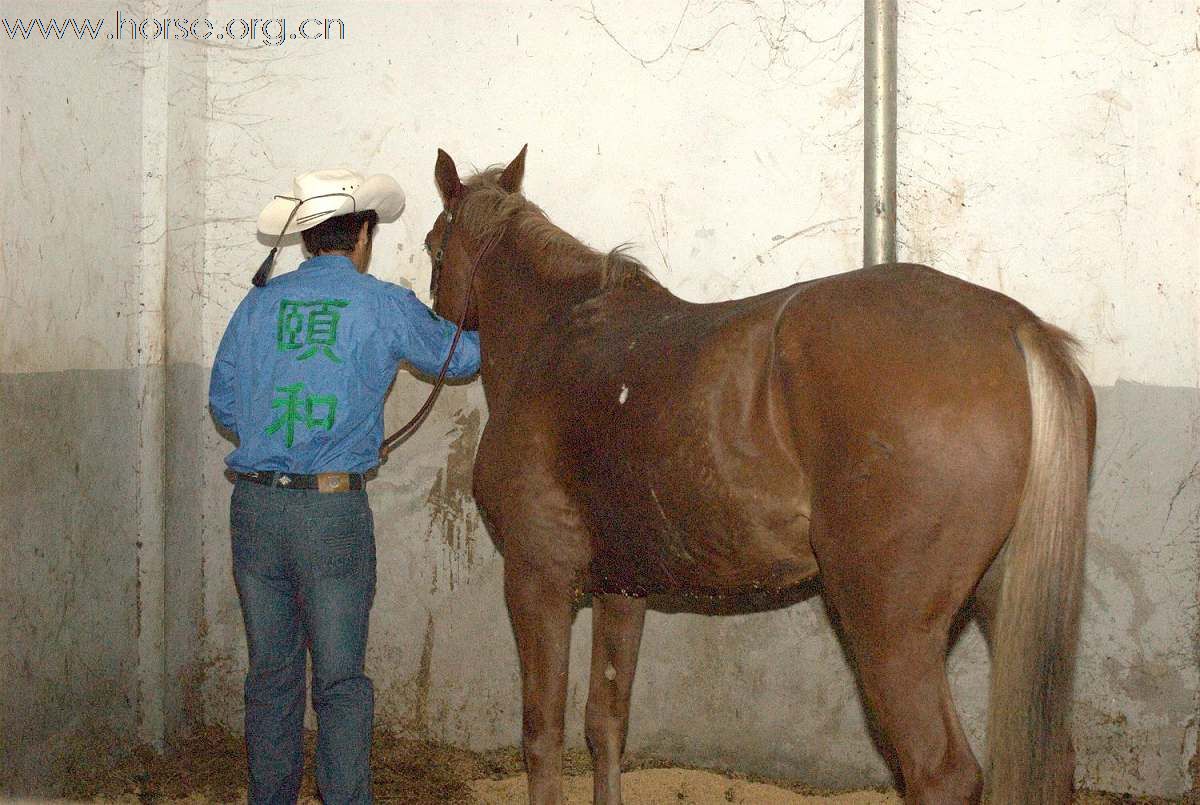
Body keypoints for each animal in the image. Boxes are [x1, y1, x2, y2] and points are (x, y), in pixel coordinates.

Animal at [424, 146, 1099, 805]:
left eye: (433, 246)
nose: (437, 317)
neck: (556, 335)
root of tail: (1014, 327)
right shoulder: (622, 588)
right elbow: (604, 722)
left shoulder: (536, 578)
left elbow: (542, 735)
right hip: (1000, 599)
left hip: (891, 628)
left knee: (942, 774)